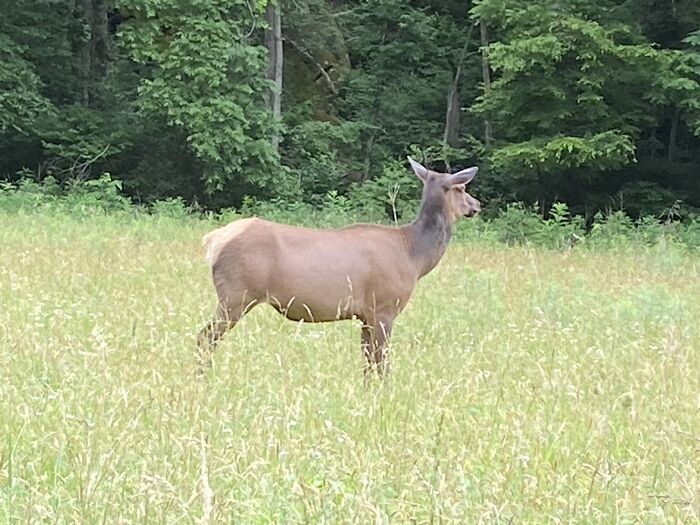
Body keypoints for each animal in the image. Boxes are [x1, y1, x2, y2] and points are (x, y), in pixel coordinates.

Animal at [197, 157, 480, 376]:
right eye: (461, 188)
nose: (476, 205)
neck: (415, 257)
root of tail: (213, 241)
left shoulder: (365, 315)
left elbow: (367, 361)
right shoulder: (384, 307)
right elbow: (382, 362)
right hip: (236, 295)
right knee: (205, 337)